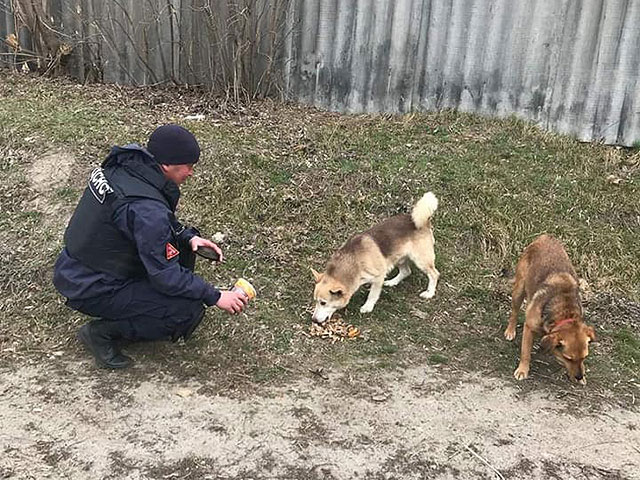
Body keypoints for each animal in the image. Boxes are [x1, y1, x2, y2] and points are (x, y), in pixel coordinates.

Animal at [310, 191, 440, 322]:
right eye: (316, 301)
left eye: (323, 303)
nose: (314, 320)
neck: (354, 260)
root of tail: (422, 221)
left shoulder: (378, 277)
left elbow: (372, 295)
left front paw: (367, 307)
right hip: (399, 258)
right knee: (406, 271)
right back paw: (392, 282)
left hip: (421, 260)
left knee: (434, 274)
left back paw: (429, 293)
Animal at [504, 234, 596, 384]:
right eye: (568, 358)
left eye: (584, 357)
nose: (579, 376)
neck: (564, 312)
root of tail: (546, 236)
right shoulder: (529, 328)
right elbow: (525, 353)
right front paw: (523, 370)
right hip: (519, 290)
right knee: (514, 313)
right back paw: (510, 331)